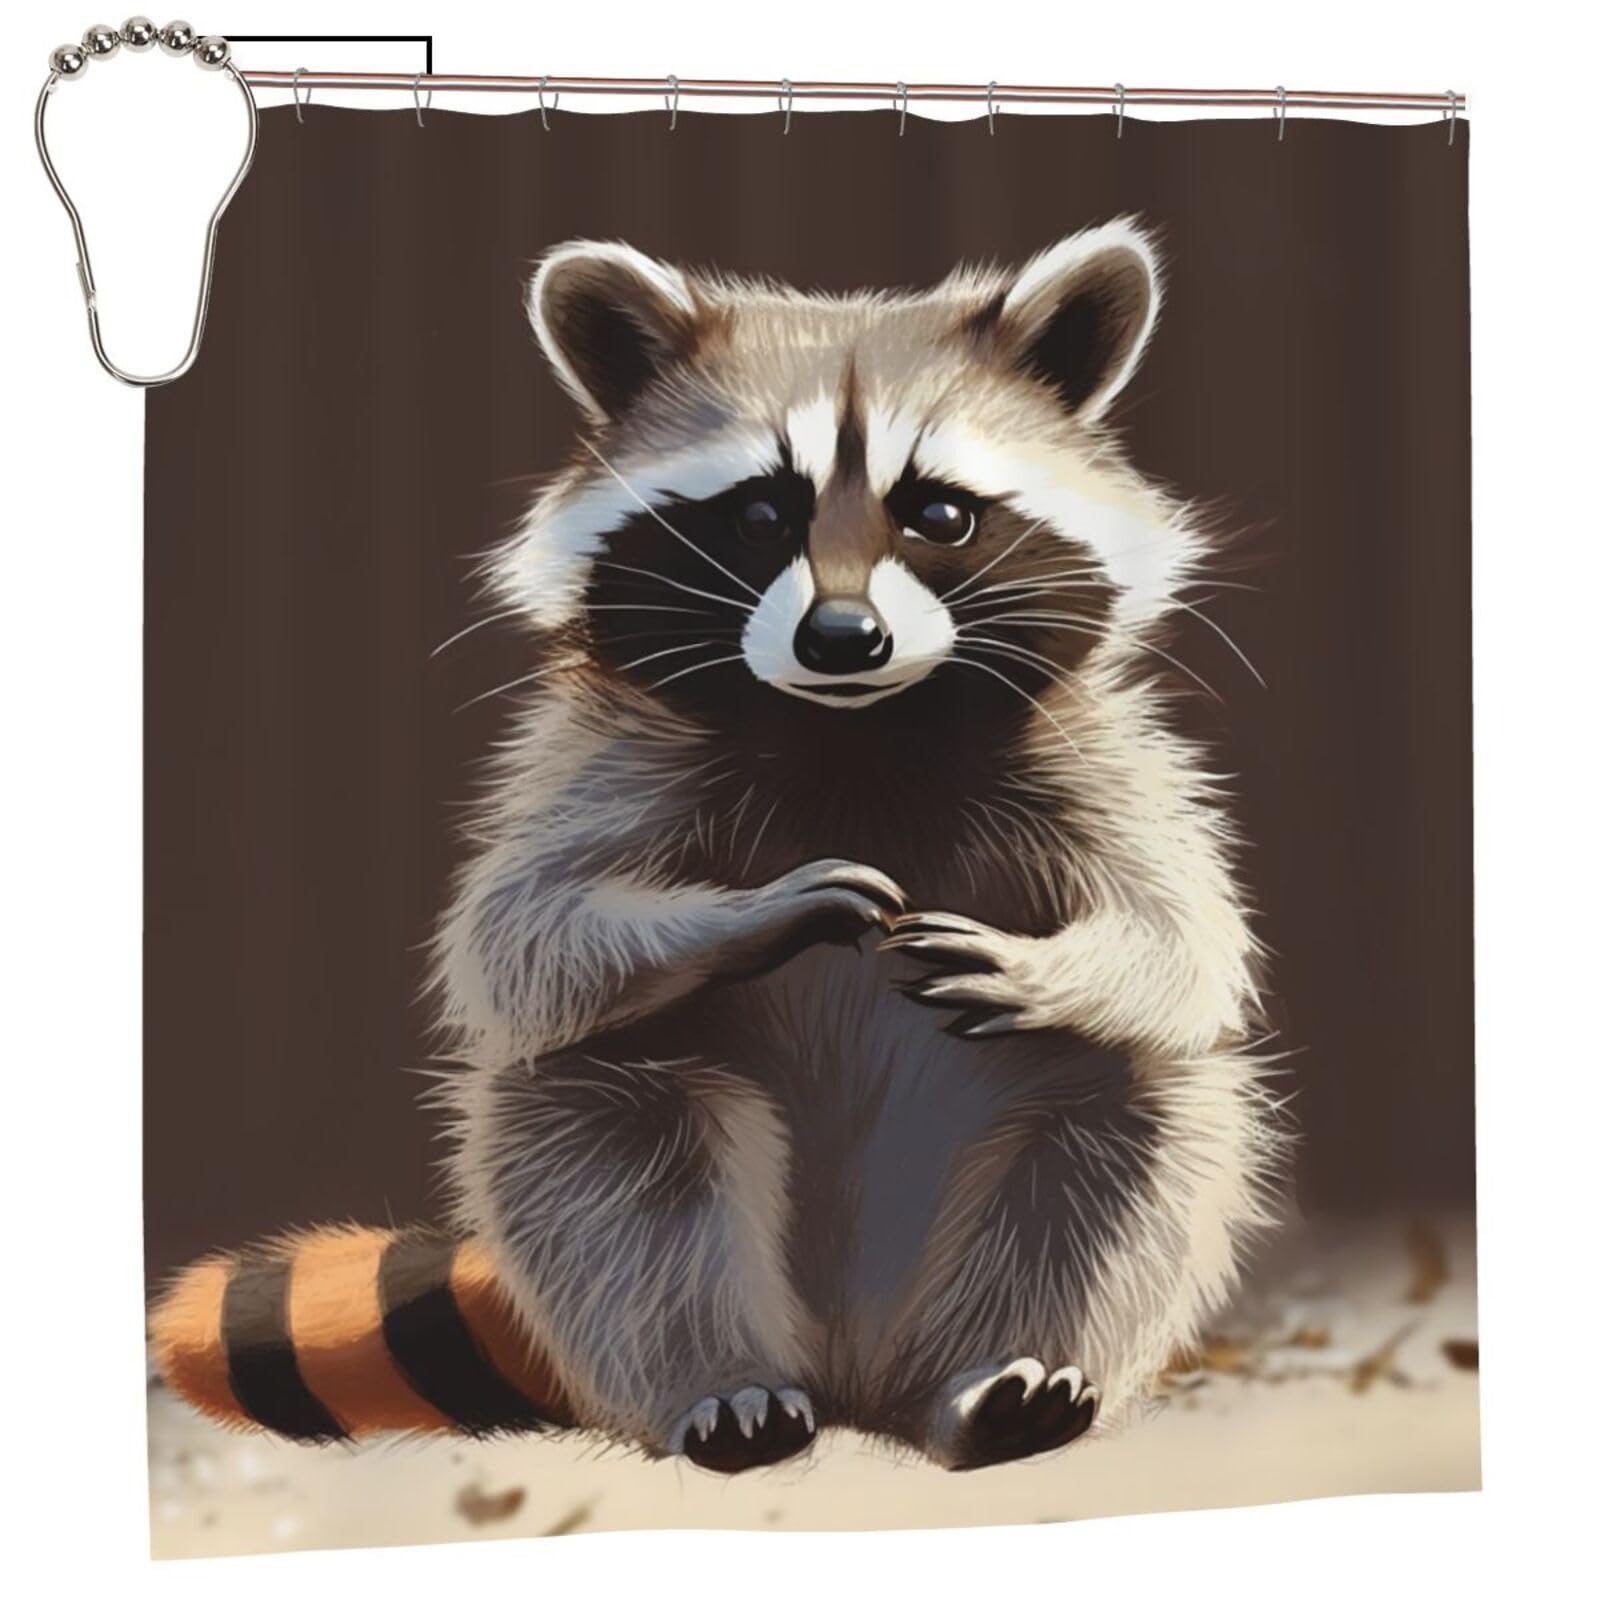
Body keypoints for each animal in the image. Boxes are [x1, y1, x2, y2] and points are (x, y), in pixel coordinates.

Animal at [152, 219, 1276, 1474]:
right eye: (758, 516)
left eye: (936, 515)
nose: (843, 637)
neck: (855, 733)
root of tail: (853, 1367)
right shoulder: (609, 755)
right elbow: (520, 935)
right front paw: (752, 913)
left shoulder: (1093, 756)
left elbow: (1183, 938)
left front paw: (1050, 967)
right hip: (623, 1179)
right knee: (618, 1163)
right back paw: (719, 1383)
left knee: (1127, 1116)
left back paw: (1000, 1374)